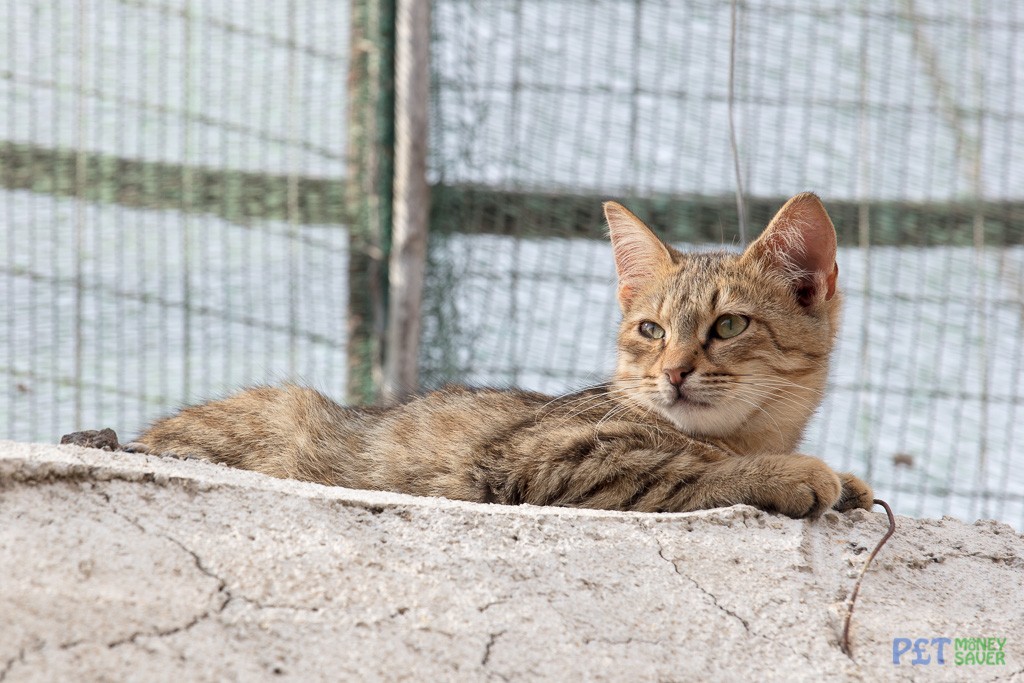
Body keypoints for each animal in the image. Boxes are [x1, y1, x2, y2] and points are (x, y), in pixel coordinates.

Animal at [59, 192, 868, 518]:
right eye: (650, 330)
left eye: (728, 325)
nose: (671, 372)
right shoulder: (552, 459)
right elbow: (693, 471)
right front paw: (796, 473)